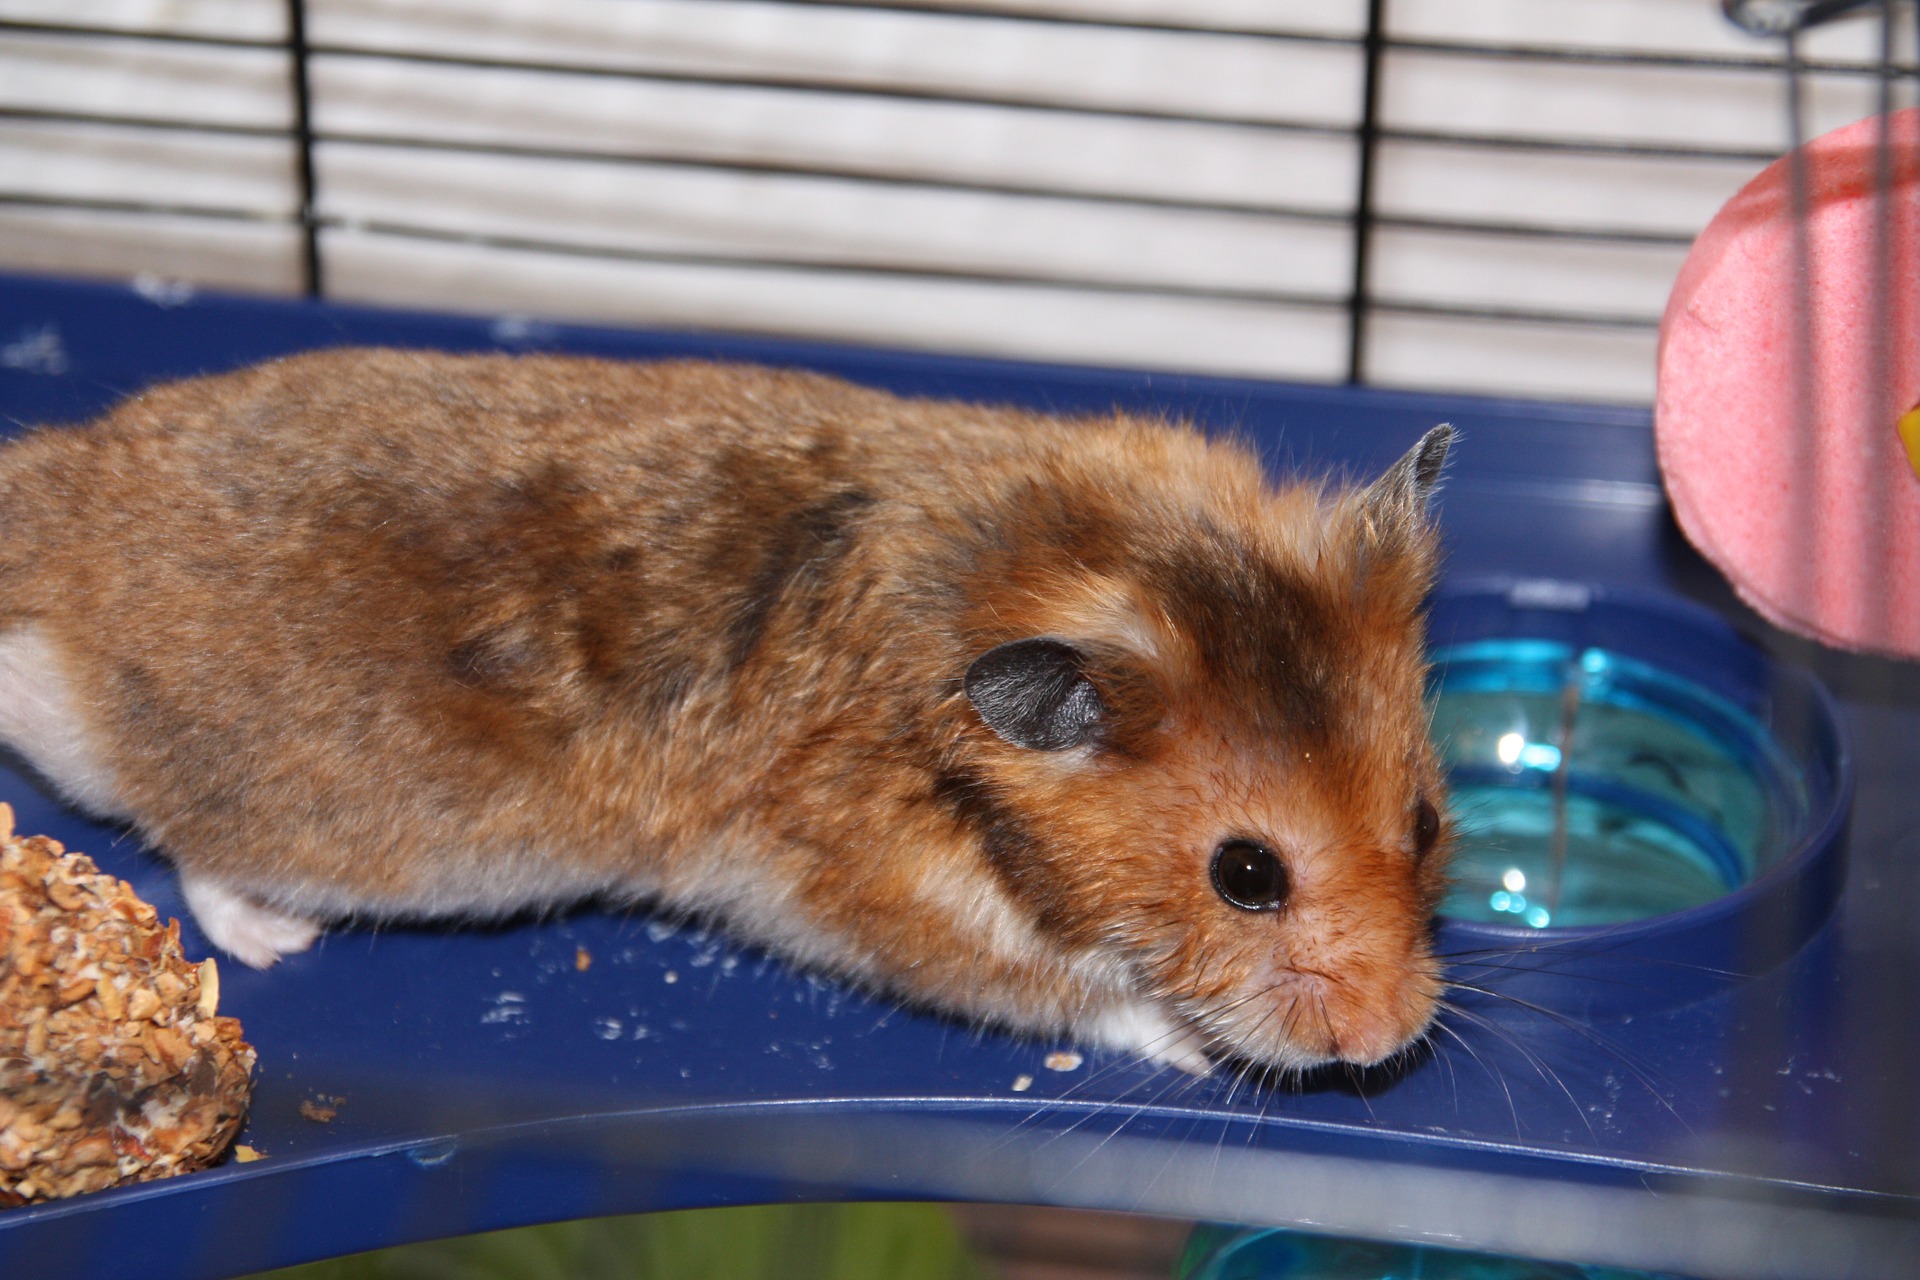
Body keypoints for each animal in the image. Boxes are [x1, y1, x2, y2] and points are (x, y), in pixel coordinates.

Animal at [0, 348, 1453, 1076]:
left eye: (1430, 822)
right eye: (1246, 874)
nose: (1392, 1043)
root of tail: (54, 515)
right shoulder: (889, 910)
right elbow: (1075, 997)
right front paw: (1195, 1048)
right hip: (318, 828)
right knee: (195, 854)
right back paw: (278, 940)